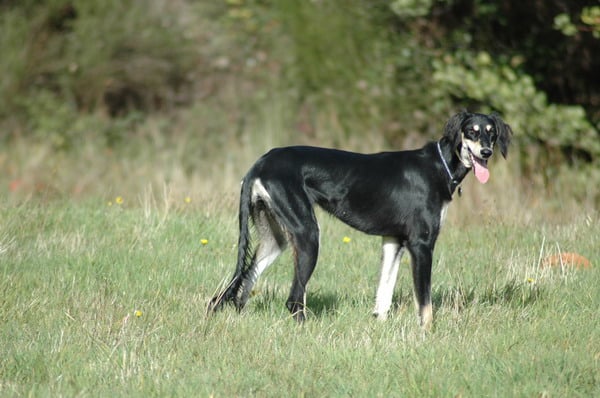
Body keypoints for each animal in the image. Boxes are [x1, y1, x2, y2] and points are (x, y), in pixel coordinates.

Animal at [209, 110, 512, 328]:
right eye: (471, 132)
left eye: (491, 133)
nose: (486, 153)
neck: (440, 166)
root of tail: (260, 163)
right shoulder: (421, 245)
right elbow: (425, 303)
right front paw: (427, 334)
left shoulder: (393, 241)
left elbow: (384, 295)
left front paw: (379, 326)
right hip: (308, 235)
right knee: (294, 299)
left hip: (276, 239)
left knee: (242, 284)